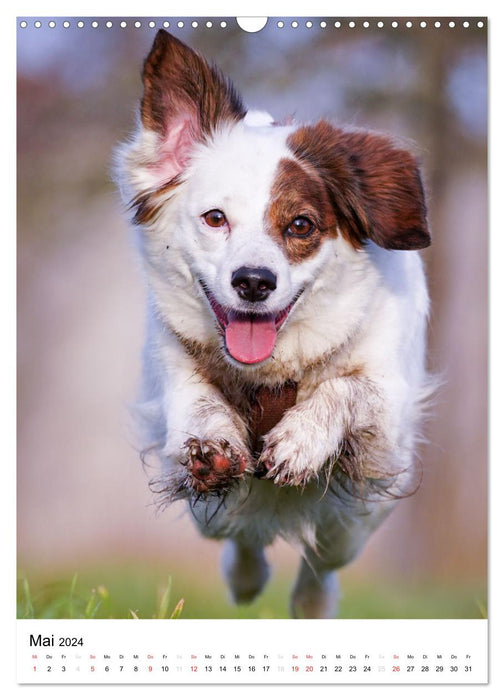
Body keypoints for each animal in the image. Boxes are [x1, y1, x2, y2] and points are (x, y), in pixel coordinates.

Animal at [115, 30, 434, 616]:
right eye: (215, 218)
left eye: (301, 225)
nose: (253, 282)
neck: (275, 367)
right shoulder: (172, 364)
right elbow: (195, 400)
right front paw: (214, 442)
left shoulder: (389, 412)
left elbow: (348, 387)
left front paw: (302, 440)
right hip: (213, 517)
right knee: (240, 532)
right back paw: (243, 577)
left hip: (354, 521)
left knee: (320, 561)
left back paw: (309, 601)